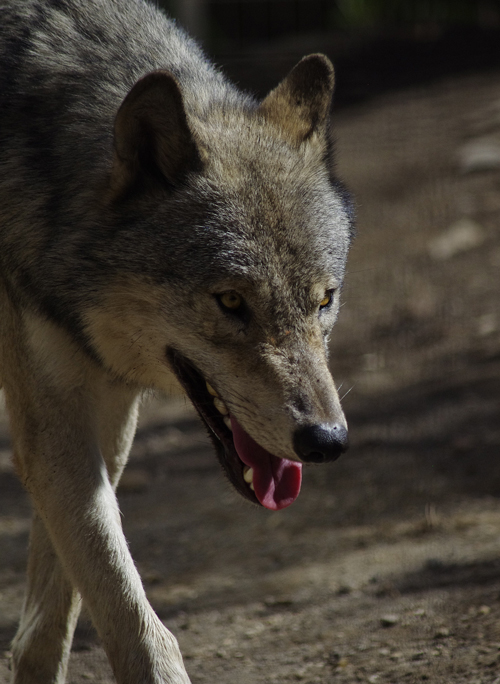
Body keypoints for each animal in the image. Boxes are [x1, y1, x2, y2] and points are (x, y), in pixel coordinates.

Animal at [0, 1, 352, 680]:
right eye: (232, 301)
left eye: (323, 300)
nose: (326, 441)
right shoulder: (51, 417)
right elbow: (133, 618)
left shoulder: (100, 406)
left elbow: (51, 618)